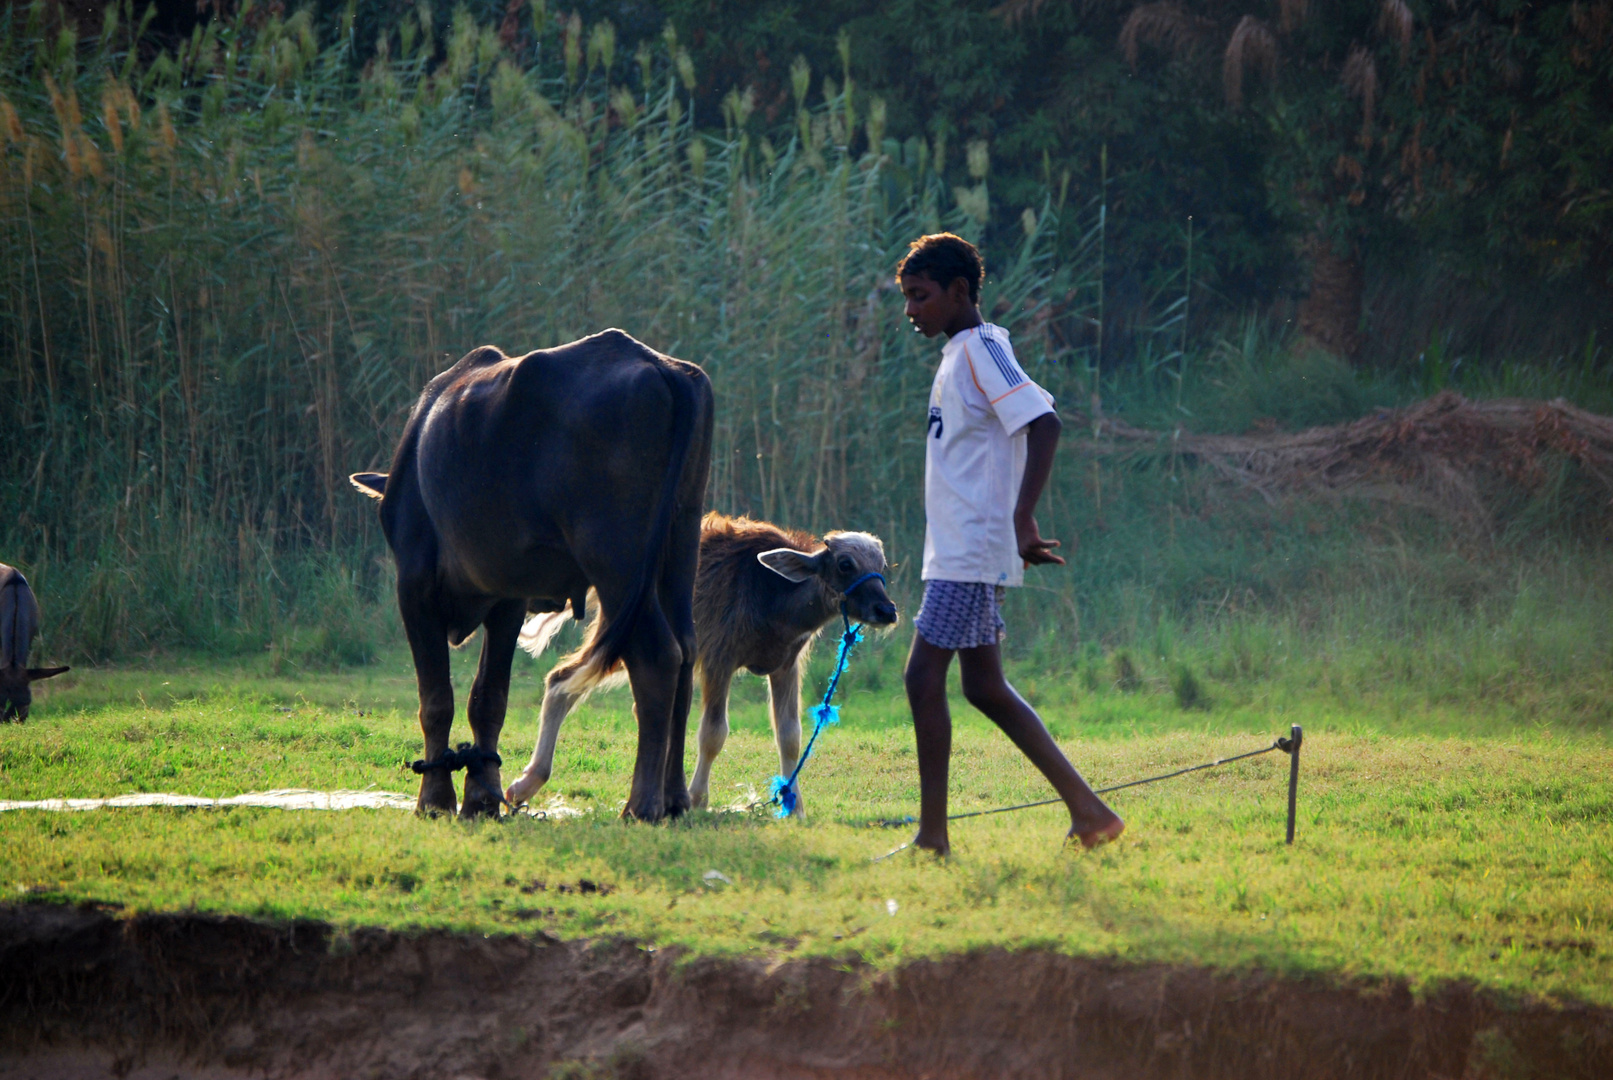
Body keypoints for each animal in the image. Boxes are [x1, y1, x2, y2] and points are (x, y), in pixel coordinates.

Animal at [356, 330, 716, 822]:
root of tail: (661, 367)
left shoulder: (413, 589)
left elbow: (436, 699)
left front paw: (435, 800)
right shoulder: (508, 598)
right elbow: (488, 698)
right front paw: (482, 798)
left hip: (616, 561)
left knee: (657, 655)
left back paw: (641, 805)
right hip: (679, 543)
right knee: (685, 649)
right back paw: (675, 800)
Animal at [506, 515, 896, 812]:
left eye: (881, 567)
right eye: (845, 565)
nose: (886, 611)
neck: (772, 596)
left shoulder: (786, 666)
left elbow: (790, 736)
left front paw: (794, 805)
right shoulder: (718, 661)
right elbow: (713, 733)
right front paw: (695, 798)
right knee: (561, 680)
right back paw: (526, 783)